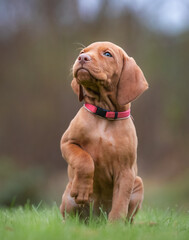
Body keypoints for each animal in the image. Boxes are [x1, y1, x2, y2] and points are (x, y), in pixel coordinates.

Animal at [59, 41, 148, 221]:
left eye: (107, 54)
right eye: (82, 52)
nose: (82, 58)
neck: (104, 114)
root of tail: (95, 219)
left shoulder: (125, 171)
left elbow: (120, 204)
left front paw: (115, 226)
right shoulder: (67, 143)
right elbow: (84, 159)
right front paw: (83, 190)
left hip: (138, 184)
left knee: (129, 218)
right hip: (68, 197)